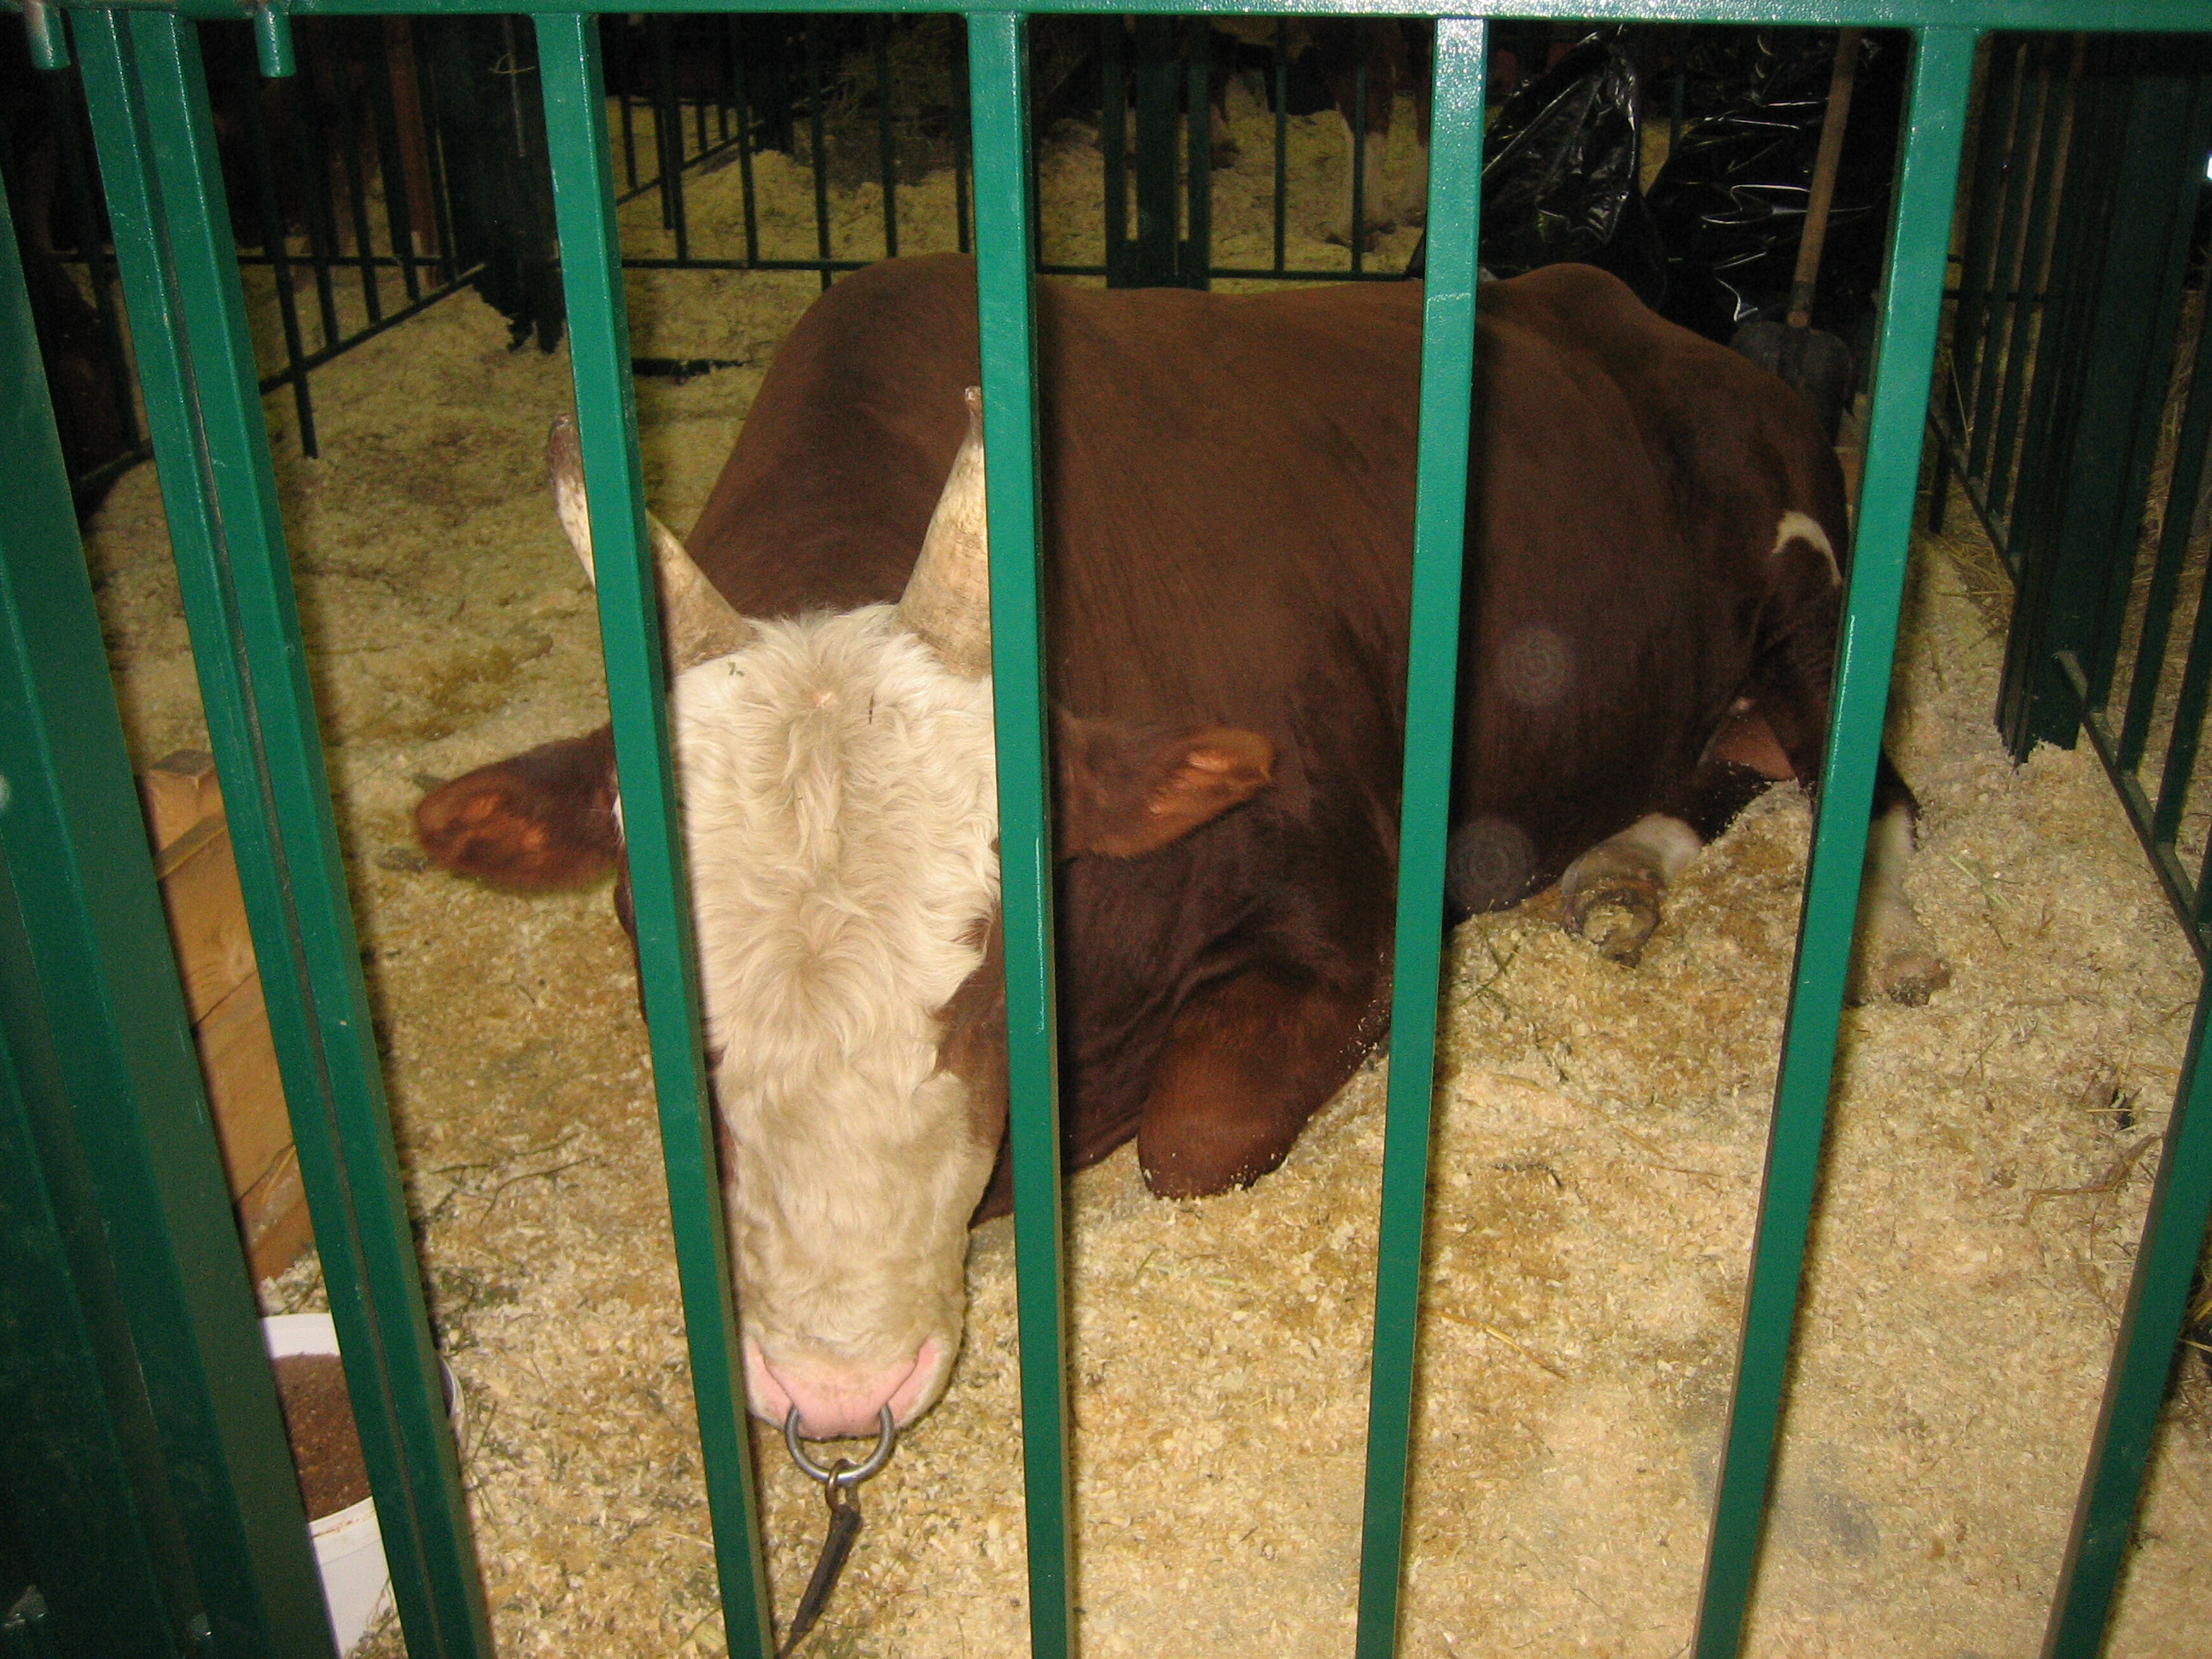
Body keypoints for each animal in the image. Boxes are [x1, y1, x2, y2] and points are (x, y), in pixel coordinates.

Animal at [416, 252, 1945, 1442]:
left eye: (993, 954)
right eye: (648, 944)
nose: (837, 1393)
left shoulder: (1345, 923)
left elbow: (1188, 1140)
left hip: (1810, 582)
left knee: (1865, 770)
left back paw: (1892, 943)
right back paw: (1622, 869)